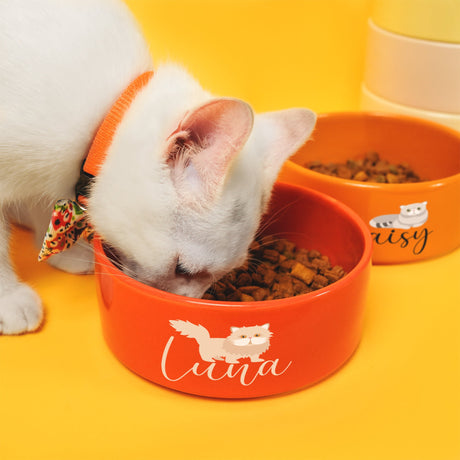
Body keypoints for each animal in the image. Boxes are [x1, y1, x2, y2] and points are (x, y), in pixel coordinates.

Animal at [0, 0, 316, 332]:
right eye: (182, 269)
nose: (189, 302)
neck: (106, 116)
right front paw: (8, 298)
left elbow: (43, 200)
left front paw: (63, 250)